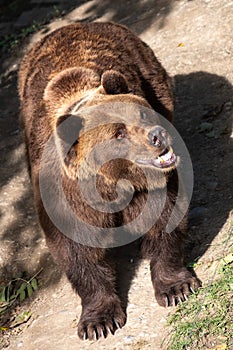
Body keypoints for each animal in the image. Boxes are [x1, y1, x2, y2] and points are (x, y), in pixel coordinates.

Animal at [18, 21, 200, 340]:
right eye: (119, 133)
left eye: (141, 113)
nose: (158, 135)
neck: (114, 184)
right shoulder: (68, 199)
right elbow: (78, 252)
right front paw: (99, 321)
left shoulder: (150, 187)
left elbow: (164, 219)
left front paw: (176, 287)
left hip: (154, 80)